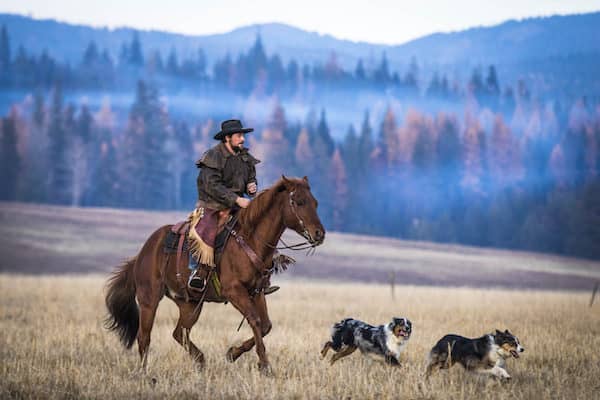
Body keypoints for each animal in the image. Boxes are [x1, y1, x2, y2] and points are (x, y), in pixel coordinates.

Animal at [105, 177, 326, 374]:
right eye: (299, 202)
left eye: (315, 203)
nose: (319, 234)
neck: (250, 239)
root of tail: (143, 253)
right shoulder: (234, 291)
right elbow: (255, 320)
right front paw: (264, 365)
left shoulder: (256, 292)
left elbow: (265, 325)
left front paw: (233, 353)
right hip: (149, 299)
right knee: (144, 337)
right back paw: (144, 374)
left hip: (190, 304)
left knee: (179, 333)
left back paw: (201, 361)